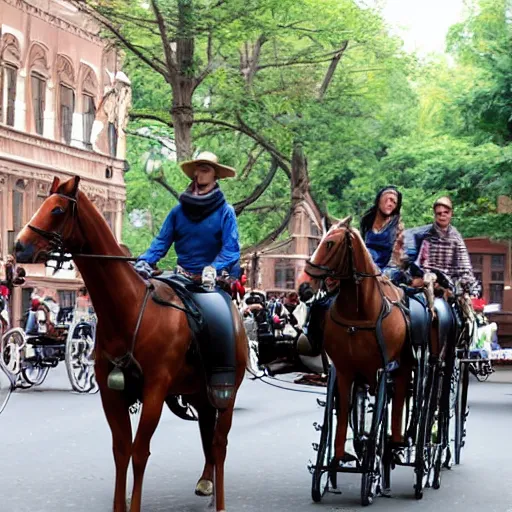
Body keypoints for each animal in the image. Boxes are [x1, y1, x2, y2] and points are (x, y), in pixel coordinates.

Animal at [15, 176, 247, 512]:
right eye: (42, 203)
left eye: (56, 209)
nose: (18, 246)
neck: (131, 309)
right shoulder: (110, 393)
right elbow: (121, 450)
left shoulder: (154, 391)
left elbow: (139, 452)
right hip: (199, 392)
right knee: (207, 431)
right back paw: (207, 481)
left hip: (224, 393)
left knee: (219, 443)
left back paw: (220, 500)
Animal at [298, 216, 418, 460]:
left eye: (330, 244)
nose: (304, 286)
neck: (360, 310)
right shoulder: (345, 369)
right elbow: (345, 409)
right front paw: (339, 454)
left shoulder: (381, 368)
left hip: (402, 364)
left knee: (400, 395)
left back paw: (397, 441)